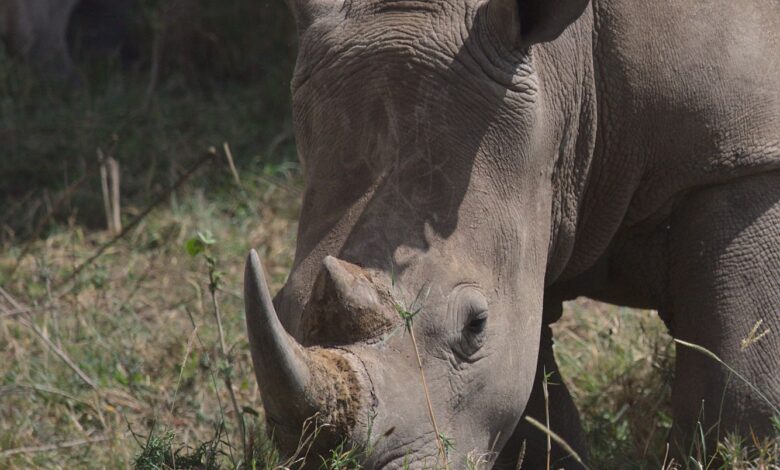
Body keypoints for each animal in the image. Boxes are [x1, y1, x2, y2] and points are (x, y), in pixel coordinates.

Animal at [244, 0, 780, 467]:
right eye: (282, 303)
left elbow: (738, 391)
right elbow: (531, 409)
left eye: (474, 325)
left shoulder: (738, 160)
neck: (563, 68)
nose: (336, 464)